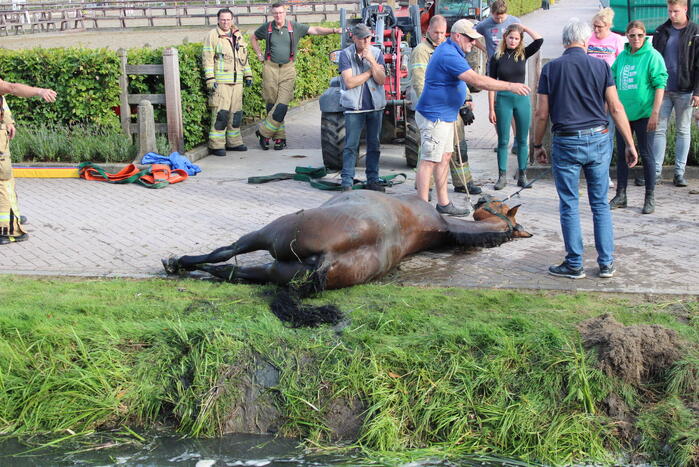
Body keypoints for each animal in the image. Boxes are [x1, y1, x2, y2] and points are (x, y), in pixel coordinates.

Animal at [162, 191, 531, 291]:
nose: (482, 197)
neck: (437, 224)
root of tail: (330, 256)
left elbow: (225, 250)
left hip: (271, 236)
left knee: (227, 253)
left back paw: (178, 264)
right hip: (280, 271)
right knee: (232, 272)